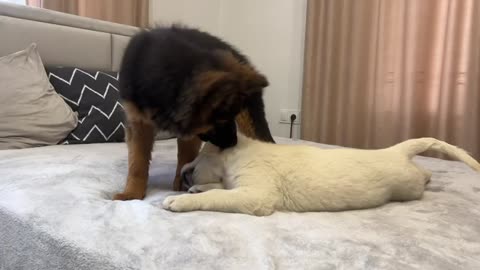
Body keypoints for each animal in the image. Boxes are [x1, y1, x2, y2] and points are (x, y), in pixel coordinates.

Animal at [113, 25, 276, 200]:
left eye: (231, 116)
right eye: (221, 120)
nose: (233, 143)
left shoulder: (191, 131)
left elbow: (185, 156)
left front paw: (182, 183)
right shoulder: (138, 123)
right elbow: (137, 161)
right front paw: (132, 193)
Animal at [162, 134, 480, 216]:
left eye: (195, 163)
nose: (185, 173)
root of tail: (395, 151)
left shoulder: (257, 195)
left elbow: (219, 193)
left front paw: (181, 200)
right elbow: (220, 189)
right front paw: (195, 190)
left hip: (407, 185)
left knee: (420, 174)